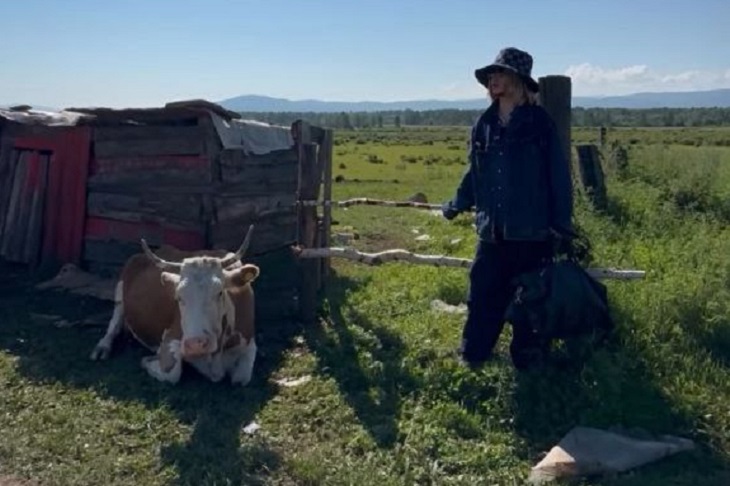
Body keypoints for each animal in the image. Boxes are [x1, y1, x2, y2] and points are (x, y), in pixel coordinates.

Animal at [89, 225, 258, 388]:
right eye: (178, 297)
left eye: (220, 292)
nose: (195, 344)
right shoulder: (171, 339)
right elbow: (171, 373)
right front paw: (148, 360)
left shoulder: (249, 342)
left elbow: (242, 378)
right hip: (121, 288)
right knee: (114, 322)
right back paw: (103, 347)